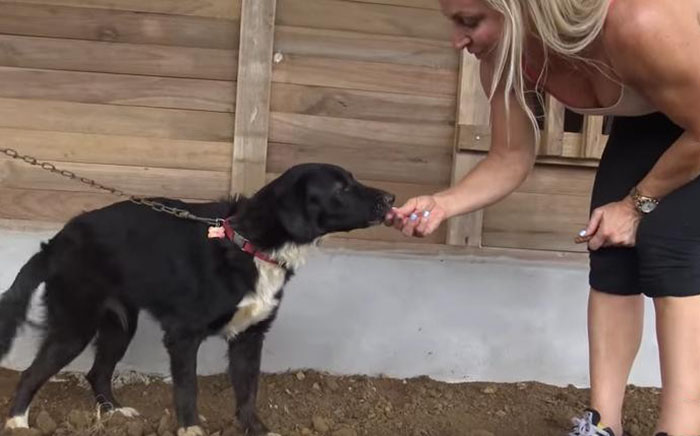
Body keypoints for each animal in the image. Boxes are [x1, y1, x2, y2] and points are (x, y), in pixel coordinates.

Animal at [0, 164, 394, 436]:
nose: (391, 199)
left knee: (97, 372)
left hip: (120, 325)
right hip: (75, 326)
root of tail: (57, 241)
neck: (249, 243)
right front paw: (190, 428)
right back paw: (18, 423)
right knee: (31, 373)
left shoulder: (249, 337)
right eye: (342, 187)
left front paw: (257, 430)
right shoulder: (183, 336)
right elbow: (188, 389)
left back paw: (114, 412)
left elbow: (248, 393)